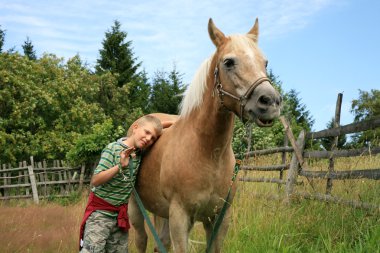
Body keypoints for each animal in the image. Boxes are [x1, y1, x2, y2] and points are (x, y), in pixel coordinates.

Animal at [129, 18, 280, 253]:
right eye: (228, 62)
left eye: (265, 62)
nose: (271, 102)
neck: (206, 152)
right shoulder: (180, 218)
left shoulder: (218, 219)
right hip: (135, 208)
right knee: (141, 240)